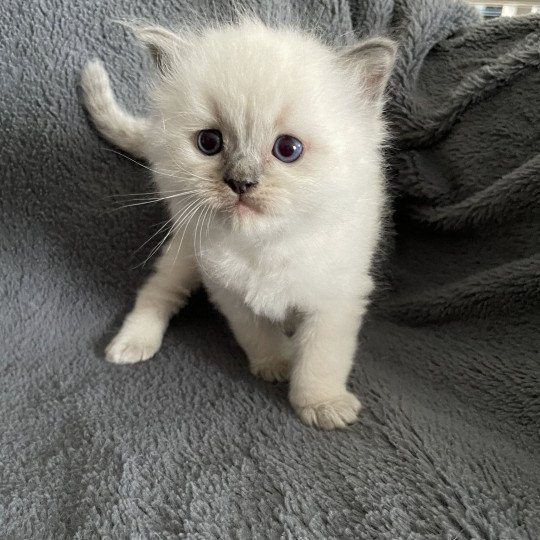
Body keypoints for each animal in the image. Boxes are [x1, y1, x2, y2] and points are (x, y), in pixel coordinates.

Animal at [82, 17, 396, 430]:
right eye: (209, 142)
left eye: (288, 149)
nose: (240, 182)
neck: (266, 245)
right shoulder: (229, 291)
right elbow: (259, 335)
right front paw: (277, 365)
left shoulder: (336, 298)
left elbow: (321, 357)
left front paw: (322, 405)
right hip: (185, 255)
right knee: (157, 292)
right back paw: (132, 345)